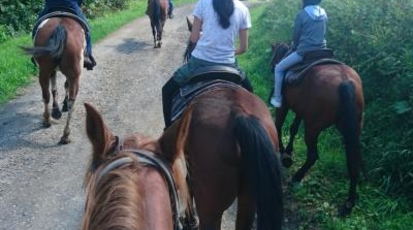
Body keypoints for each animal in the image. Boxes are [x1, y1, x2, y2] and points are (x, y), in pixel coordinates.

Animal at [268, 42, 362, 217]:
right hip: (352, 130)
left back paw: (297, 177)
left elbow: (278, 125)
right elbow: (293, 128)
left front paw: (283, 153)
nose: (272, 66)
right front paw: (288, 150)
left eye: (275, 52)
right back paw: (348, 204)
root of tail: (345, 81)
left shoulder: (284, 106)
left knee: (313, 155)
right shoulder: (301, 111)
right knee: (352, 163)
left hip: (313, 128)